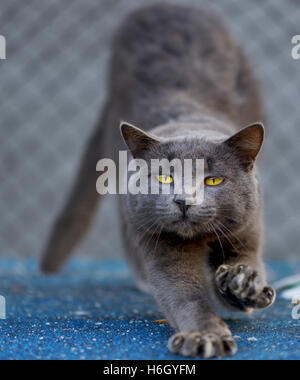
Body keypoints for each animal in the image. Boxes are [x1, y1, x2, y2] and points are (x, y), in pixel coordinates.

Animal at [41, 4, 276, 358]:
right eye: (164, 176)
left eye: (213, 180)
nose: (183, 201)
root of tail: (168, 5)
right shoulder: (159, 240)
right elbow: (183, 292)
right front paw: (205, 335)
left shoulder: (246, 229)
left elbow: (249, 263)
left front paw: (243, 283)